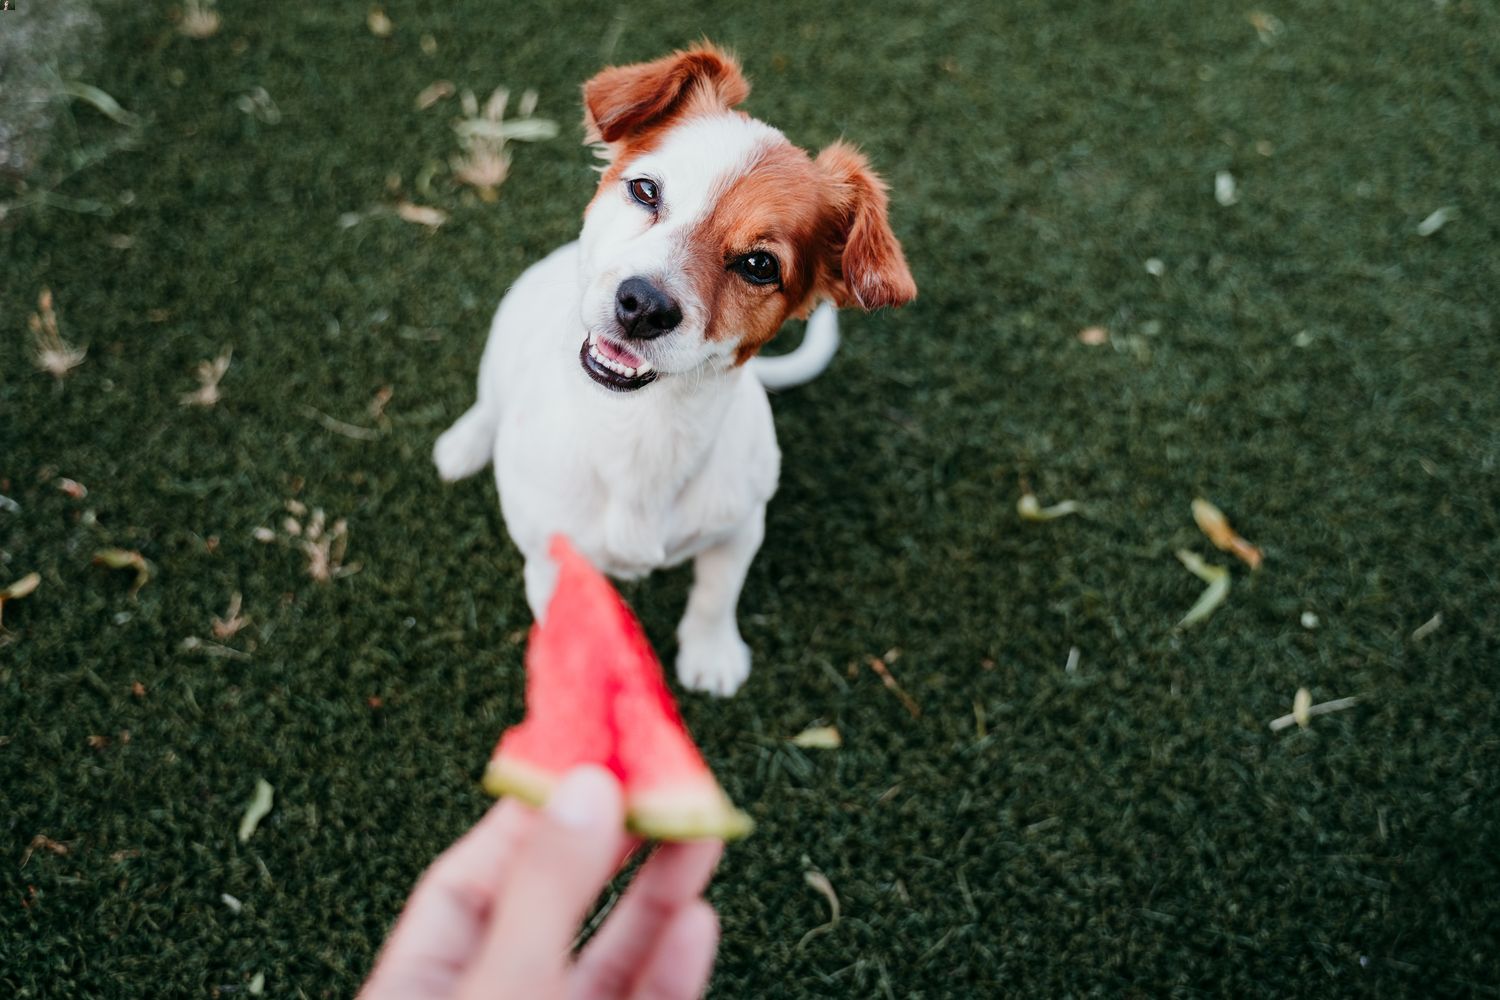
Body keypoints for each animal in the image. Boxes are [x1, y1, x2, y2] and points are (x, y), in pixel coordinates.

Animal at [429, 41, 906, 695]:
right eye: (646, 191)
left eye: (760, 264)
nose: (643, 305)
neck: (643, 429)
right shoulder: (554, 561)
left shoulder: (741, 529)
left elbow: (715, 594)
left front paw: (711, 654)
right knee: (487, 402)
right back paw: (465, 444)